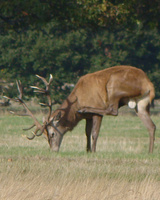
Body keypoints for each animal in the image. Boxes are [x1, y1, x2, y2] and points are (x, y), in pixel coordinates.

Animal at [4, 65, 156, 153]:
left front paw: (93, 151)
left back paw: (84, 109)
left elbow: (94, 133)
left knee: (113, 110)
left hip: (114, 85)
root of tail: (148, 84)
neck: (77, 100)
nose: (53, 150)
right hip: (141, 104)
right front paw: (87, 150)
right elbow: (87, 133)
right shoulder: (88, 118)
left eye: (52, 134)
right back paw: (150, 152)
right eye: (45, 136)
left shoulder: (96, 112)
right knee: (151, 126)